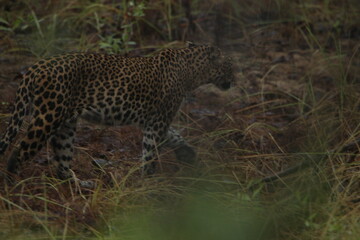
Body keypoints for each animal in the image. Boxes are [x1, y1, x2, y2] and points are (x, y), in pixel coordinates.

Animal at [0, 42, 235, 181]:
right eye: (230, 65)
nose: (234, 80)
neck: (193, 71)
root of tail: (35, 68)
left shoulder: (154, 121)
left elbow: (175, 136)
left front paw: (188, 155)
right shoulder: (158, 120)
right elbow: (150, 152)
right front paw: (148, 180)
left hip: (65, 124)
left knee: (62, 159)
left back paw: (78, 183)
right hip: (48, 116)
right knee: (18, 152)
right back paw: (15, 185)